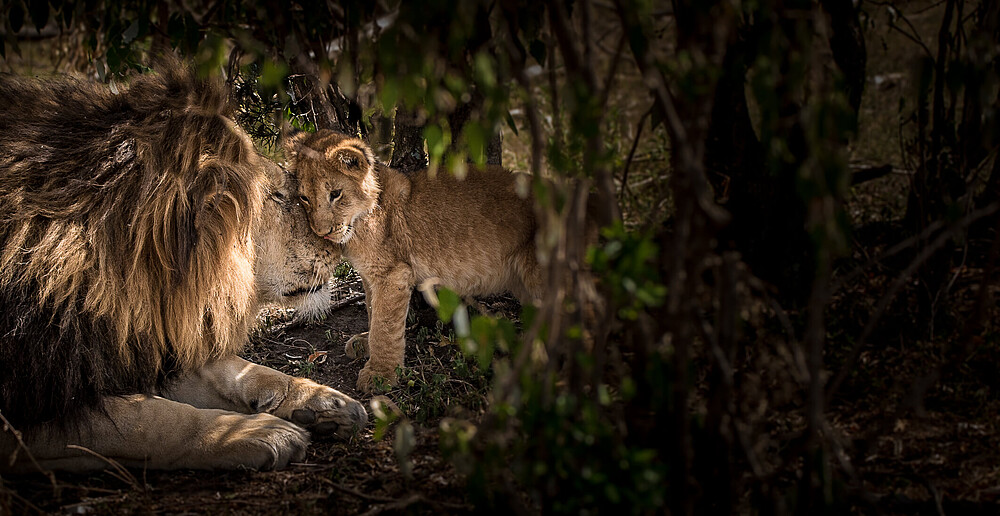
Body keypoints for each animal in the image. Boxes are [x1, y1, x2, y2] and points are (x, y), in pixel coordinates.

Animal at [0, 64, 368, 472]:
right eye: (279, 197)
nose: (340, 245)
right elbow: (146, 420)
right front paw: (254, 432)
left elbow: (227, 369)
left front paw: (317, 400)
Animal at [286, 129, 544, 392]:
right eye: (304, 198)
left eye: (335, 194)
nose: (322, 232)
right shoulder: (370, 275)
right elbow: (371, 309)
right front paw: (365, 343)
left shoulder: (393, 273)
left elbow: (385, 325)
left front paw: (380, 374)